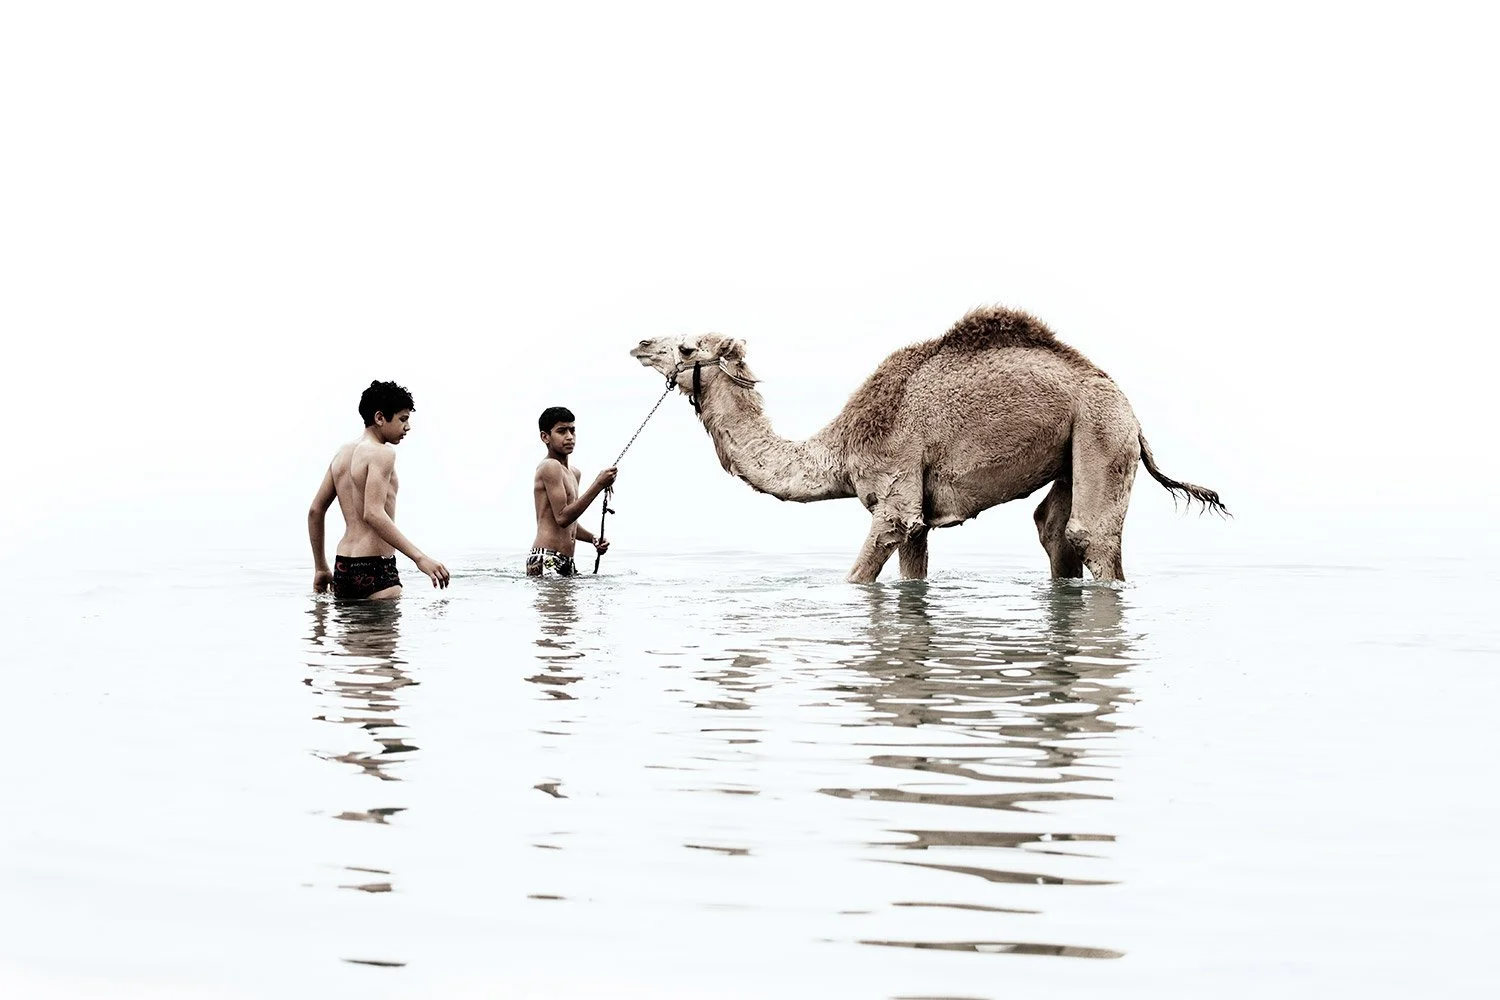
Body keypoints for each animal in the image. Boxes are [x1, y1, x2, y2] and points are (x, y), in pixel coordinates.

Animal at [629, 306, 1226, 583]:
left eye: (688, 347)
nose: (640, 343)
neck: (842, 448)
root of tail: (1132, 412)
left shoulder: (895, 500)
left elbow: (855, 578)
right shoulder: (915, 517)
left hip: (1104, 433)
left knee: (1093, 535)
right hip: (1074, 450)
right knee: (1054, 531)